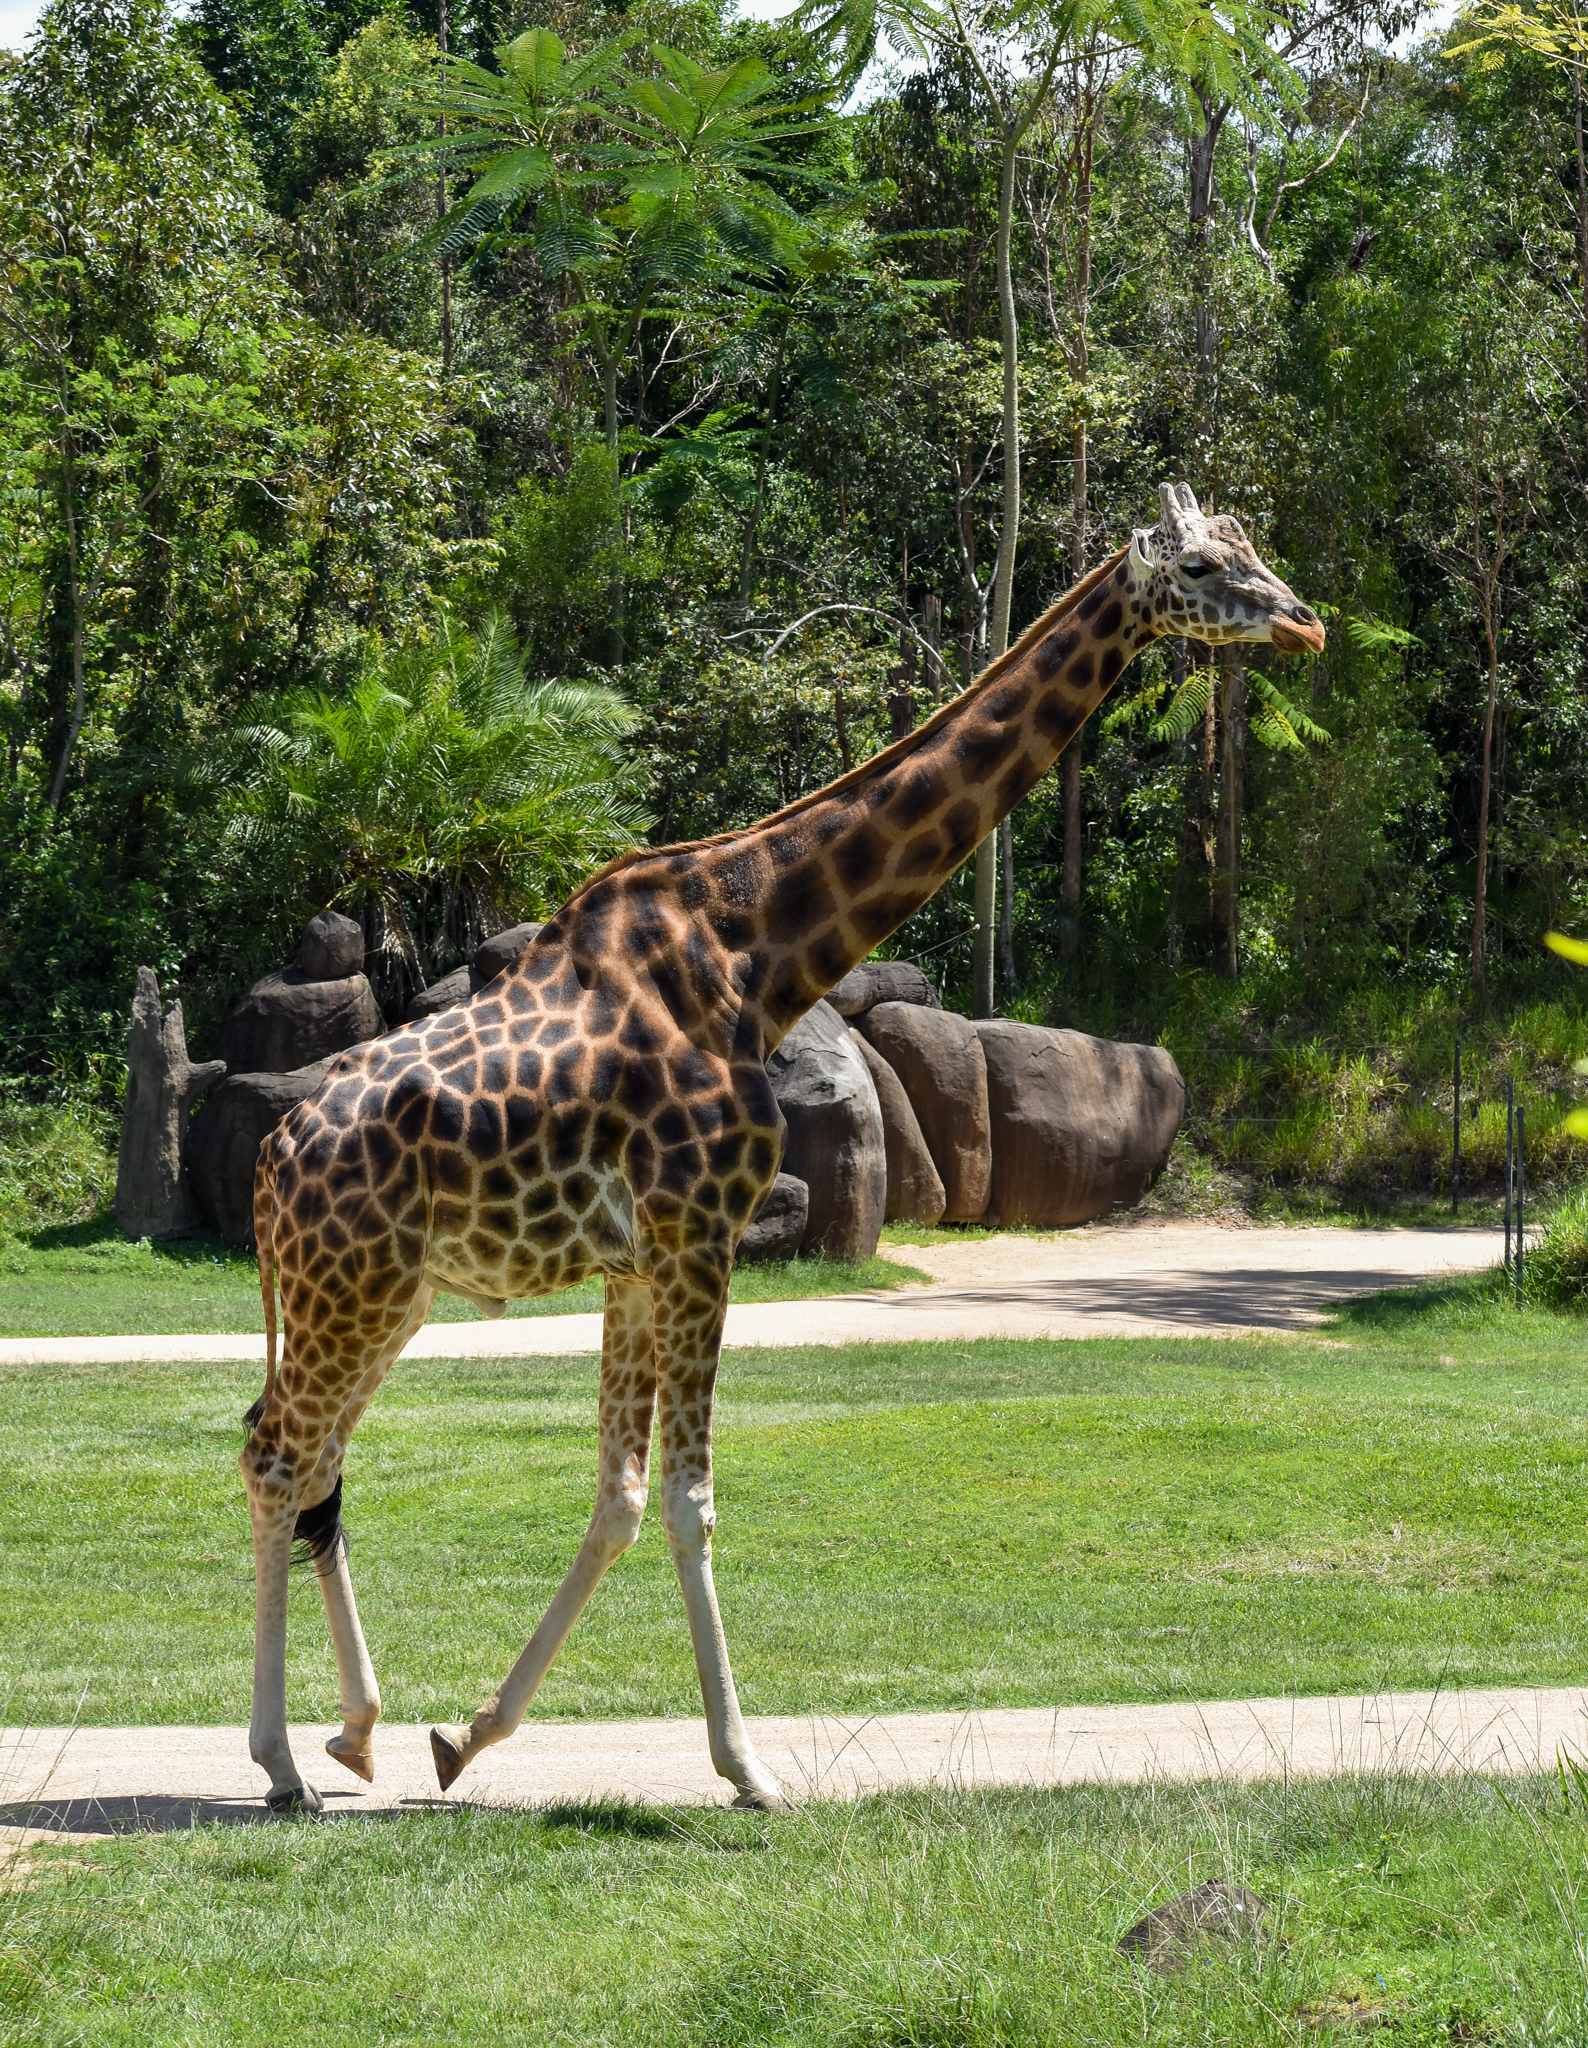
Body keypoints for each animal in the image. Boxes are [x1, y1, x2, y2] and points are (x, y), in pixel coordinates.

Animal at [240, 482, 1323, 1814]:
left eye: (1254, 545)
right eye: (1210, 566)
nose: (1305, 622)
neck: (763, 947)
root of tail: (270, 1159)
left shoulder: (638, 1260)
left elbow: (619, 1496)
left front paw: (470, 1735)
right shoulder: (700, 1235)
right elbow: (691, 1499)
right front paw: (749, 1767)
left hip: (387, 1293)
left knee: (306, 1458)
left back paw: (355, 1730)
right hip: (350, 1291)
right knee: (282, 1458)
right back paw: (282, 1759)